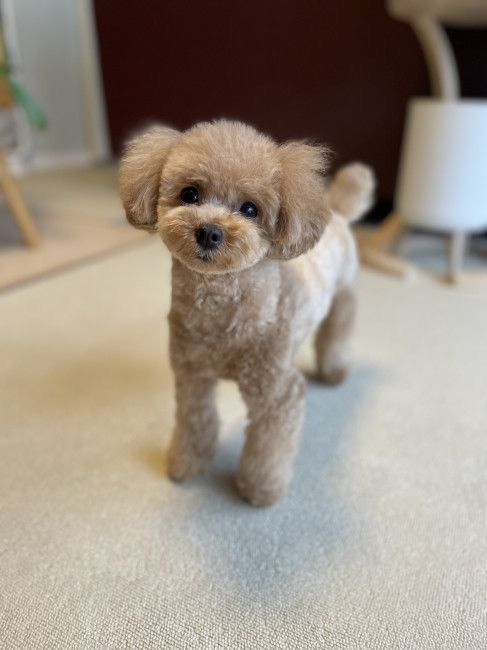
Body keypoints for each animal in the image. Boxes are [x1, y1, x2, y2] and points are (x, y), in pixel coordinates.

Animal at [120, 119, 376, 504]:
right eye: (190, 194)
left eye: (250, 209)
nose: (209, 232)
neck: (220, 306)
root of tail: (339, 213)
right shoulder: (193, 375)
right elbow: (195, 422)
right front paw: (186, 464)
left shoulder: (277, 394)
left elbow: (268, 449)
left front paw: (261, 490)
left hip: (344, 298)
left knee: (336, 335)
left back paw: (333, 371)